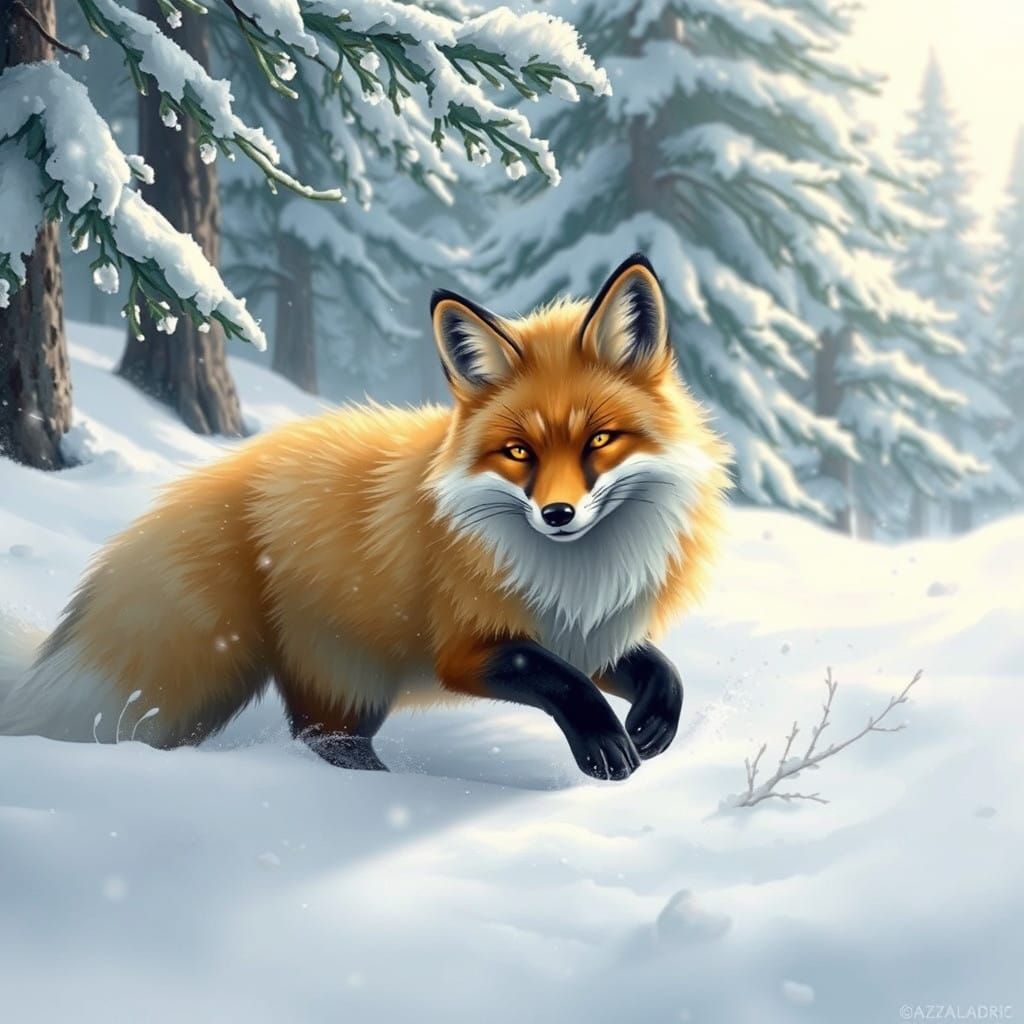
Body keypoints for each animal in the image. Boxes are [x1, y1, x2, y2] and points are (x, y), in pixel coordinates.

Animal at [0, 253, 730, 780]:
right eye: (518, 451)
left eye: (599, 441)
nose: (557, 513)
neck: (574, 574)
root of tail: (232, 472)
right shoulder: (467, 647)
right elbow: (558, 679)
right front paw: (604, 742)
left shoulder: (587, 630)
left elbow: (651, 667)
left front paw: (655, 719)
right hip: (347, 675)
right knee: (324, 740)